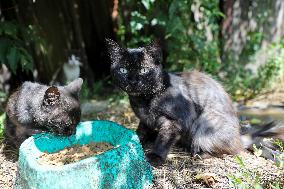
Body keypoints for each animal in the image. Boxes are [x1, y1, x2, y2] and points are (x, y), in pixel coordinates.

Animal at [106, 38, 284, 164]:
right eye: (123, 69)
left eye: (143, 70)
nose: (133, 81)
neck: (144, 100)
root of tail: (239, 138)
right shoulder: (145, 121)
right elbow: (140, 132)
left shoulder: (175, 121)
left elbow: (164, 139)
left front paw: (156, 156)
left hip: (204, 124)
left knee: (230, 150)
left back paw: (199, 154)